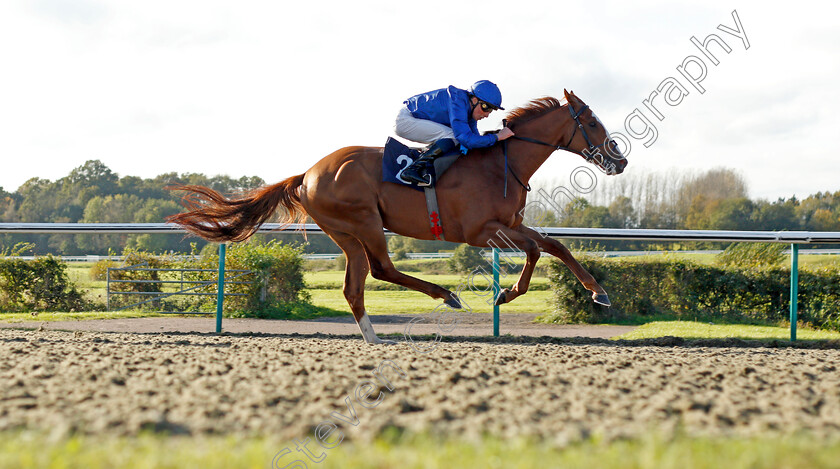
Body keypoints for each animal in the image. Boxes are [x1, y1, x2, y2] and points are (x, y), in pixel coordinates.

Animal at [171, 88, 628, 344]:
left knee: (355, 286)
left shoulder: (509, 224)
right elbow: (535, 249)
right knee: (382, 269)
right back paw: (446, 296)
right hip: (364, 222)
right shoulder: (481, 232)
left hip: (346, 234)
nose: (619, 160)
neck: (502, 162)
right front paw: (506, 293)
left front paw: (599, 293)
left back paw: (375, 339)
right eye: (591, 121)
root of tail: (308, 173)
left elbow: (554, 245)